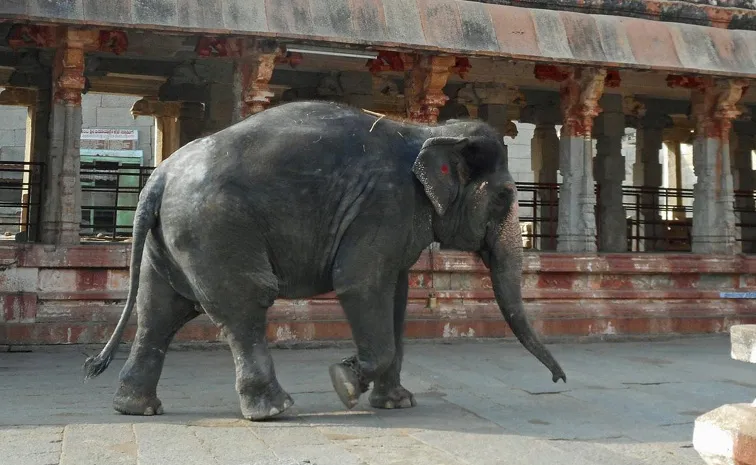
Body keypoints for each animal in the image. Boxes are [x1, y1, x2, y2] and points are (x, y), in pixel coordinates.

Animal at [83, 100, 566, 421]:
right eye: (503, 197)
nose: (560, 381)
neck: (428, 129)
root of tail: (159, 176)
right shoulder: (384, 205)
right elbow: (359, 284)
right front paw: (344, 383)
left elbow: (395, 296)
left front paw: (397, 403)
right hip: (215, 228)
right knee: (244, 303)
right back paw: (275, 410)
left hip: (171, 238)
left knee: (159, 310)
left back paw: (135, 408)